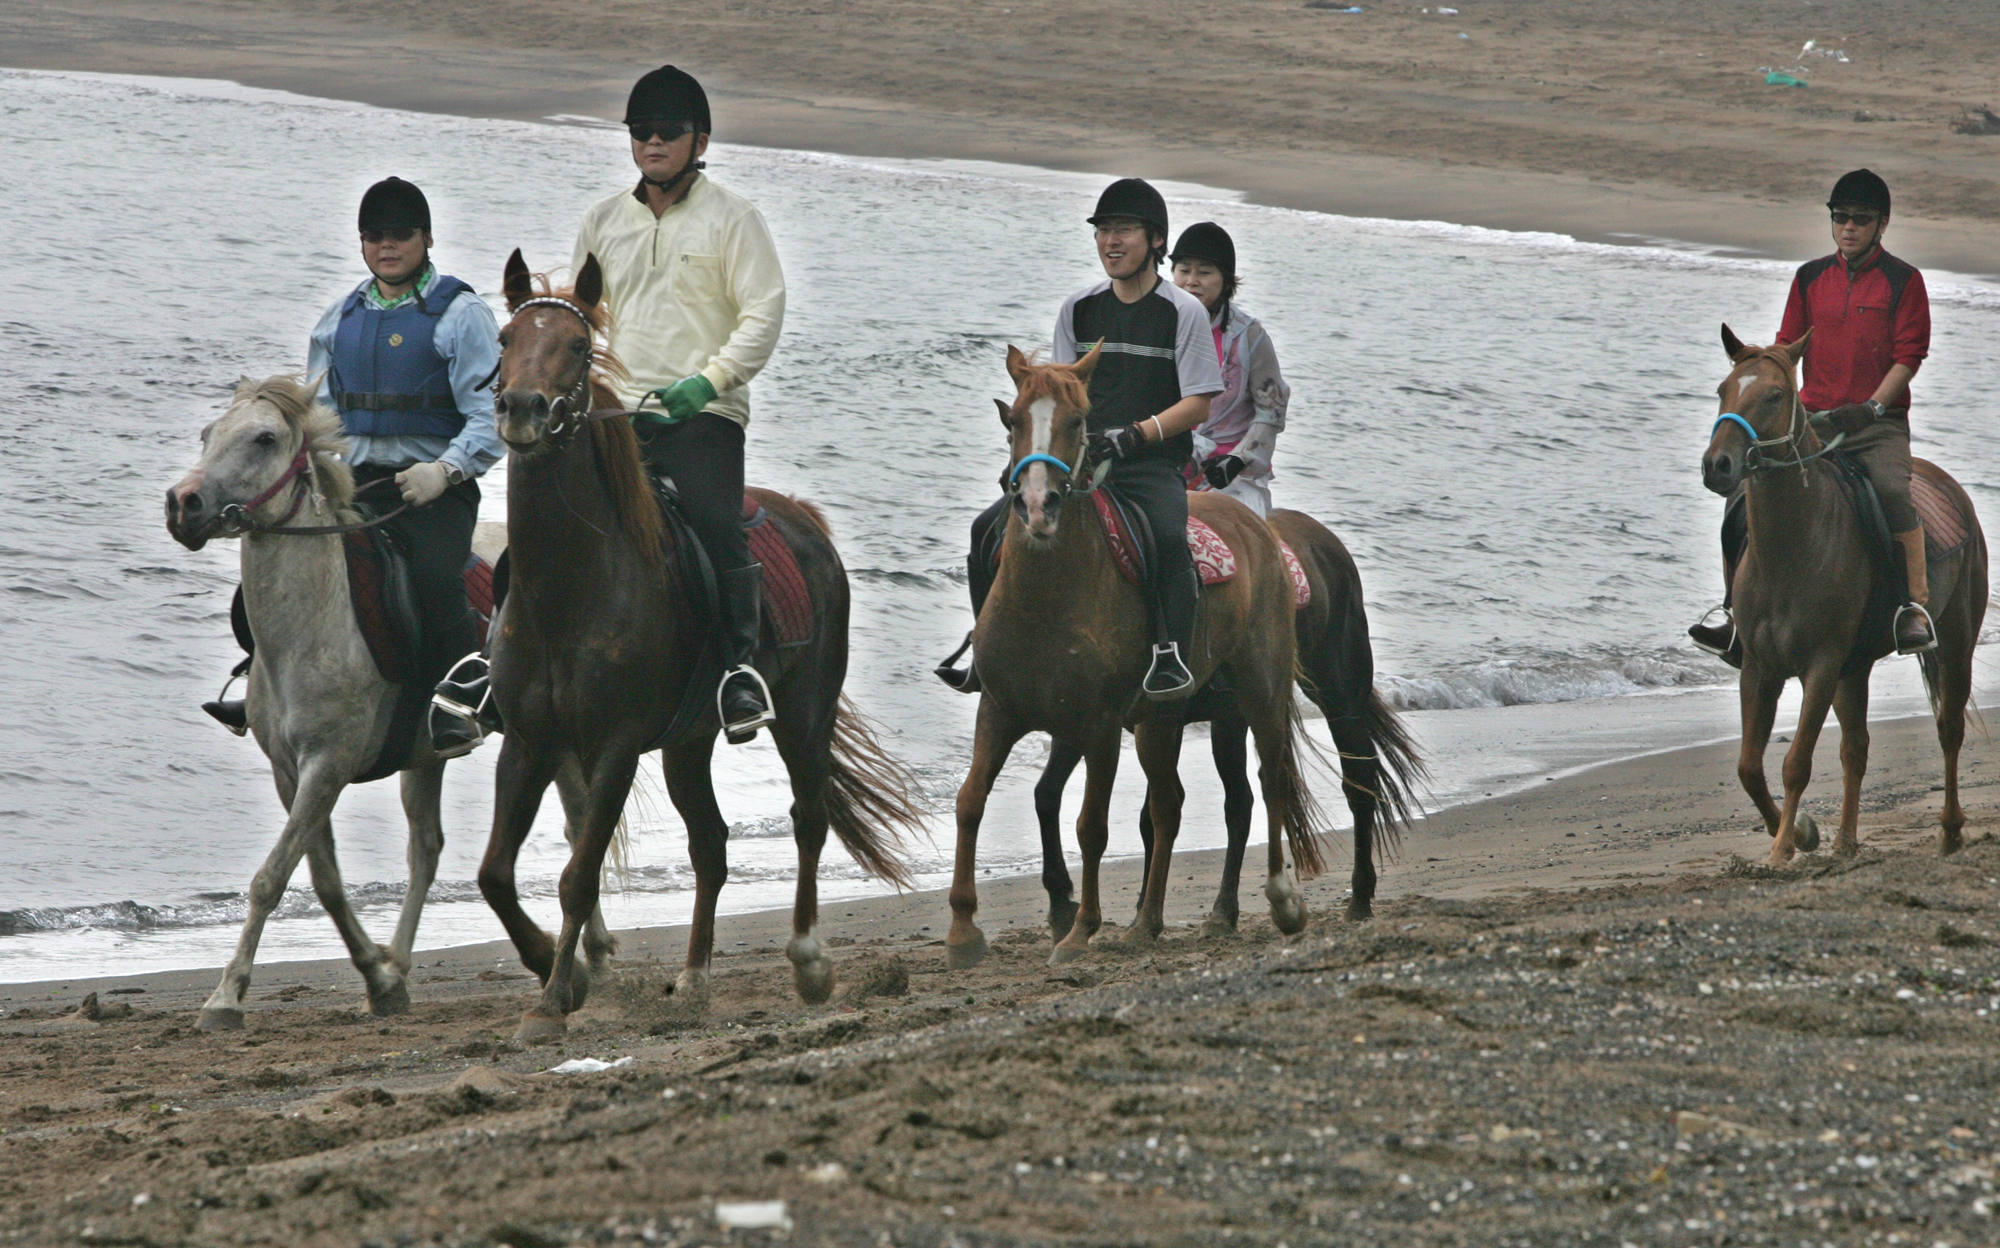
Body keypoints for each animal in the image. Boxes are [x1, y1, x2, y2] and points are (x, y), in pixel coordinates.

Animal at [164, 376, 608, 1032]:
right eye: (207, 434)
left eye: (264, 438)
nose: (183, 503)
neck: (316, 621)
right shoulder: (291, 772)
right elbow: (323, 880)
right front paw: (378, 977)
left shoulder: (327, 765)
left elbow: (272, 877)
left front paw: (226, 996)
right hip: (429, 758)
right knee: (427, 849)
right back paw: (403, 960)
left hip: (548, 738)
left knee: (579, 820)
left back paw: (591, 956)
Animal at [480, 249, 924, 1040]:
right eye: (505, 339)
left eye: (578, 346)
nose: (522, 409)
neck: (570, 591)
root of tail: (806, 523)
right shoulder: (529, 742)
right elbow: (496, 874)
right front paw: (561, 977)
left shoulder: (616, 747)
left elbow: (577, 876)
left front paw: (553, 1000)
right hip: (688, 744)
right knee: (711, 846)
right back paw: (692, 979)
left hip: (803, 718)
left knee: (808, 819)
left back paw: (808, 961)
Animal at [944, 346, 1320, 972]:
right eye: (1014, 421)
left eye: (1079, 423)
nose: (1039, 507)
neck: (1048, 597)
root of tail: (1257, 528)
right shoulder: (998, 710)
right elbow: (970, 802)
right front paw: (962, 930)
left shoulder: (1097, 728)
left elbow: (1091, 826)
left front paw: (1079, 932)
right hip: (1158, 722)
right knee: (1168, 807)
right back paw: (1146, 924)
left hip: (1258, 693)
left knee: (1270, 783)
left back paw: (1282, 902)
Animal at [1032, 502, 1424, 932]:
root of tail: (1324, 540)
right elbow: (1049, 794)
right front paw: (1064, 902)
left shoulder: (1166, 720)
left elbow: (1159, 812)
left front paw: (1146, 913)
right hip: (1235, 717)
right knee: (1243, 800)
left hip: (1338, 693)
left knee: (1358, 781)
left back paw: (1357, 898)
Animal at [1704, 326, 1984, 864]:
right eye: (1723, 389)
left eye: (1776, 395)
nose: (1717, 466)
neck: (1794, 547)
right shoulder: (1760, 667)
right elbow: (1749, 767)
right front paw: (1800, 834)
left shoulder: (1821, 664)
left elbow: (1795, 763)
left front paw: (1780, 850)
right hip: (1853, 671)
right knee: (1856, 746)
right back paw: (1846, 840)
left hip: (1955, 643)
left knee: (1949, 730)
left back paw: (1951, 829)